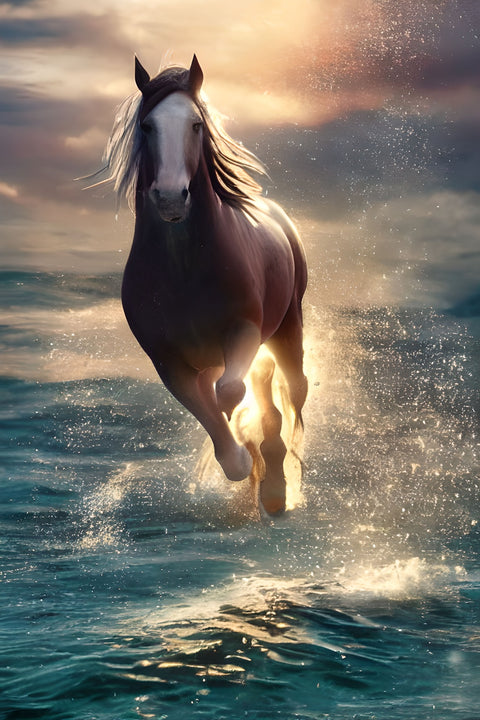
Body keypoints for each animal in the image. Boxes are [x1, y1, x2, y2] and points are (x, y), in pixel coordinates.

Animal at [97, 55, 308, 514]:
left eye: (196, 125)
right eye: (147, 126)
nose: (171, 198)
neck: (183, 270)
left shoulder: (244, 330)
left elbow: (230, 392)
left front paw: (260, 464)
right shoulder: (167, 361)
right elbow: (210, 411)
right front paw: (242, 460)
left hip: (287, 326)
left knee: (289, 388)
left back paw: (278, 483)